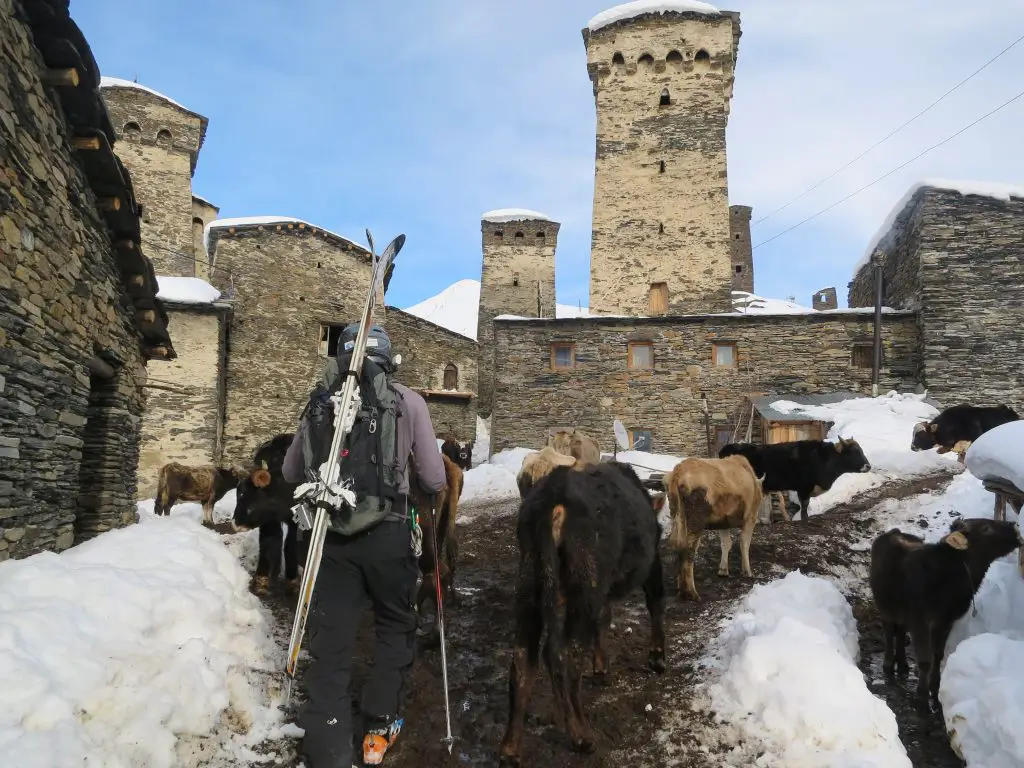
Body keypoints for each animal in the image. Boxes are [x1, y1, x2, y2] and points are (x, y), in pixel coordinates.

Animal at [230, 434, 299, 593]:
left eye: (244, 494)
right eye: (238, 492)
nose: (235, 524)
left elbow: (291, 545)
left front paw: (292, 580)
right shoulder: (270, 520)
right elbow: (269, 542)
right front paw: (262, 579)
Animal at [497, 460, 671, 765]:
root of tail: (553, 499)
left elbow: (604, 619)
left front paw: (601, 668)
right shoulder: (652, 564)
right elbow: (655, 603)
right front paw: (657, 659)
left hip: (529, 583)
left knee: (523, 658)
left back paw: (510, 748)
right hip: (584, 585)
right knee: (561, 655)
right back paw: (581, 736)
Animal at [667, 454, 765, 606]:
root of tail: (678, 472)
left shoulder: (723, 522)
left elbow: (726, 543)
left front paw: (723, 570)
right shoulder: (750, 517)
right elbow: (744, 543)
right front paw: (747, 571)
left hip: (677, 514)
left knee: (676, 543)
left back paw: (680, 586)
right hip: (696, 518)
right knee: (688, 550)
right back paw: (691, 593)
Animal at [868, 520, 1019, 700]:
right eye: (986, 528)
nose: (1015, 526)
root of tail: (894, 531)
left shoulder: (945, 621)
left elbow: (937, 655)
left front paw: (935, 687)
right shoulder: (920, 621)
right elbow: (925, 660)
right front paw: (922, 696)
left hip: (903, 611)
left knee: (900, 632)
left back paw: (903, 665)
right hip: (886, 606)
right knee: (889, 630)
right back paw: (889, 664)